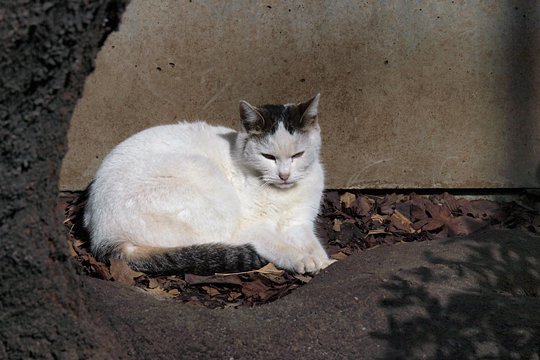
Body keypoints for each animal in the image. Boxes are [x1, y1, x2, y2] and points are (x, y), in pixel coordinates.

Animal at [83, 94, 334, 274]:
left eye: (298, 155)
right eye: (268, 157)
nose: (284, 175)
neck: (282, 195)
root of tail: (102, 235)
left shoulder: (298, 224)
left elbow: (312, 243)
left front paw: (324, 261)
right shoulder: (252, 227)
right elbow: (281, 246)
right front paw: (303, 259)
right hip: (214, 192)